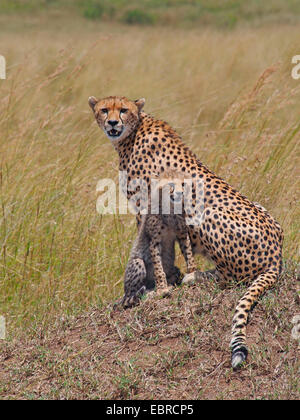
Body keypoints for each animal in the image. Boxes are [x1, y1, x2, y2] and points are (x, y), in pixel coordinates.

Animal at [89, 94, 284, 368]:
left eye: (123, 110)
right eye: (105, 110)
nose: (113, 123)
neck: (133, 131)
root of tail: (277, 254)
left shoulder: (147, 208)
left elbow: (150, 250)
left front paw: (155, 286)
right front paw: (162, 280)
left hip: (206, 213)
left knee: (230, 279)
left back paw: (195, 277)